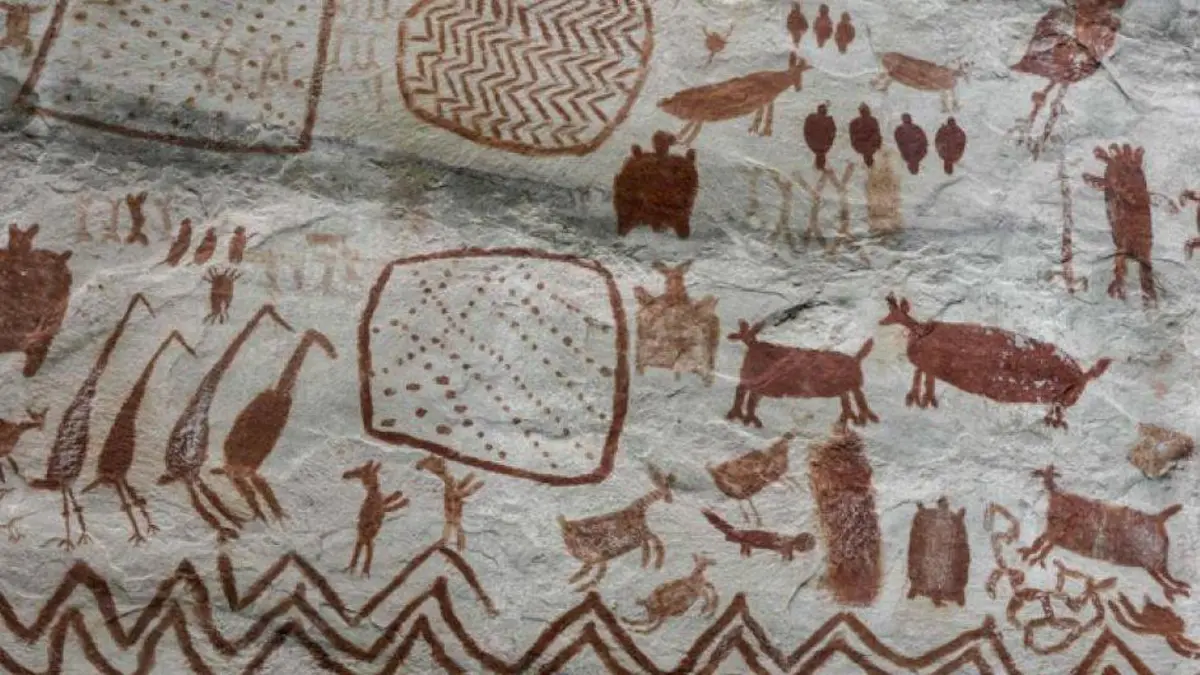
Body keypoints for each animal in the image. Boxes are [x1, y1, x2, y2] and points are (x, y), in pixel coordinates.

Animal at [83, 330, 197, 544]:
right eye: (179, 338)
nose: (191, 350)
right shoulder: (120, 476)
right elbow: (130, 500)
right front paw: (144, 530)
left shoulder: (122, 476)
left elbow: (133, 498)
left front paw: (147, 526)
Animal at [658, 52, 813, 144]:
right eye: (670, 98)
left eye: (674, 101)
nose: (660, 103)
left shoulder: (698, 117)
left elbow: (690, 132)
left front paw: (679, 140)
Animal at [879, 293, 1110, 429]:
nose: (881, 321)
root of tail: (1082, 376)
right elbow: (924, 381)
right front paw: (921, 400)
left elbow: (922, 379)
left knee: (1059, 406)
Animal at [1020, 465, 1190, 603]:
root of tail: (1159, 519)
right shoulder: (1054, 534)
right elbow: (1041, 545)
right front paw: (1029, 555)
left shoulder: (1055, 533)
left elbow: (1042, 544)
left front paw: (1030, 556)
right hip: (1153, 563)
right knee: (1163, 576)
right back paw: (1180, 587)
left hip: (1151, 562)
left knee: (1163, 577)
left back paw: (1179, 589)